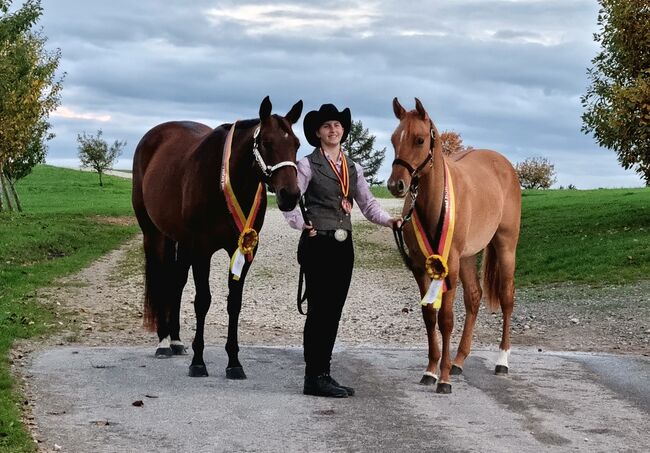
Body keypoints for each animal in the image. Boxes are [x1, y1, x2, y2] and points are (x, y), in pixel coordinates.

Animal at [134, 96, 304, 378]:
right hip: (154, 233)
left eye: (297, 144)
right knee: (161, 279)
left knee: (176, 282)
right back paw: (163, 342)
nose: (290, 195)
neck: (224, 179)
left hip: (181, 240)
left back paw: (176, 340)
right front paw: (198, 362)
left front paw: (234, 362)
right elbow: (203, 301)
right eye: (266, 142)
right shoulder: (202, 248)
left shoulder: (244, 248)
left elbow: (234, 303)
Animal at [388, 98, 520, 392]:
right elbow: (429, 315)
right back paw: (459, 360)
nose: (395, 185)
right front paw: (431, 370)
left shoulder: (450, 265)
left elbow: (446, 319)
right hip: (469, 257)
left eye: (419, 139)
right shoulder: (420, 267)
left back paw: (502, 361)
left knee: (506, 298)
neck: (436, 203)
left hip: (505, 246)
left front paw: (444, 378)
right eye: (393, 139)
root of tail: (503, 164)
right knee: (474, 297)